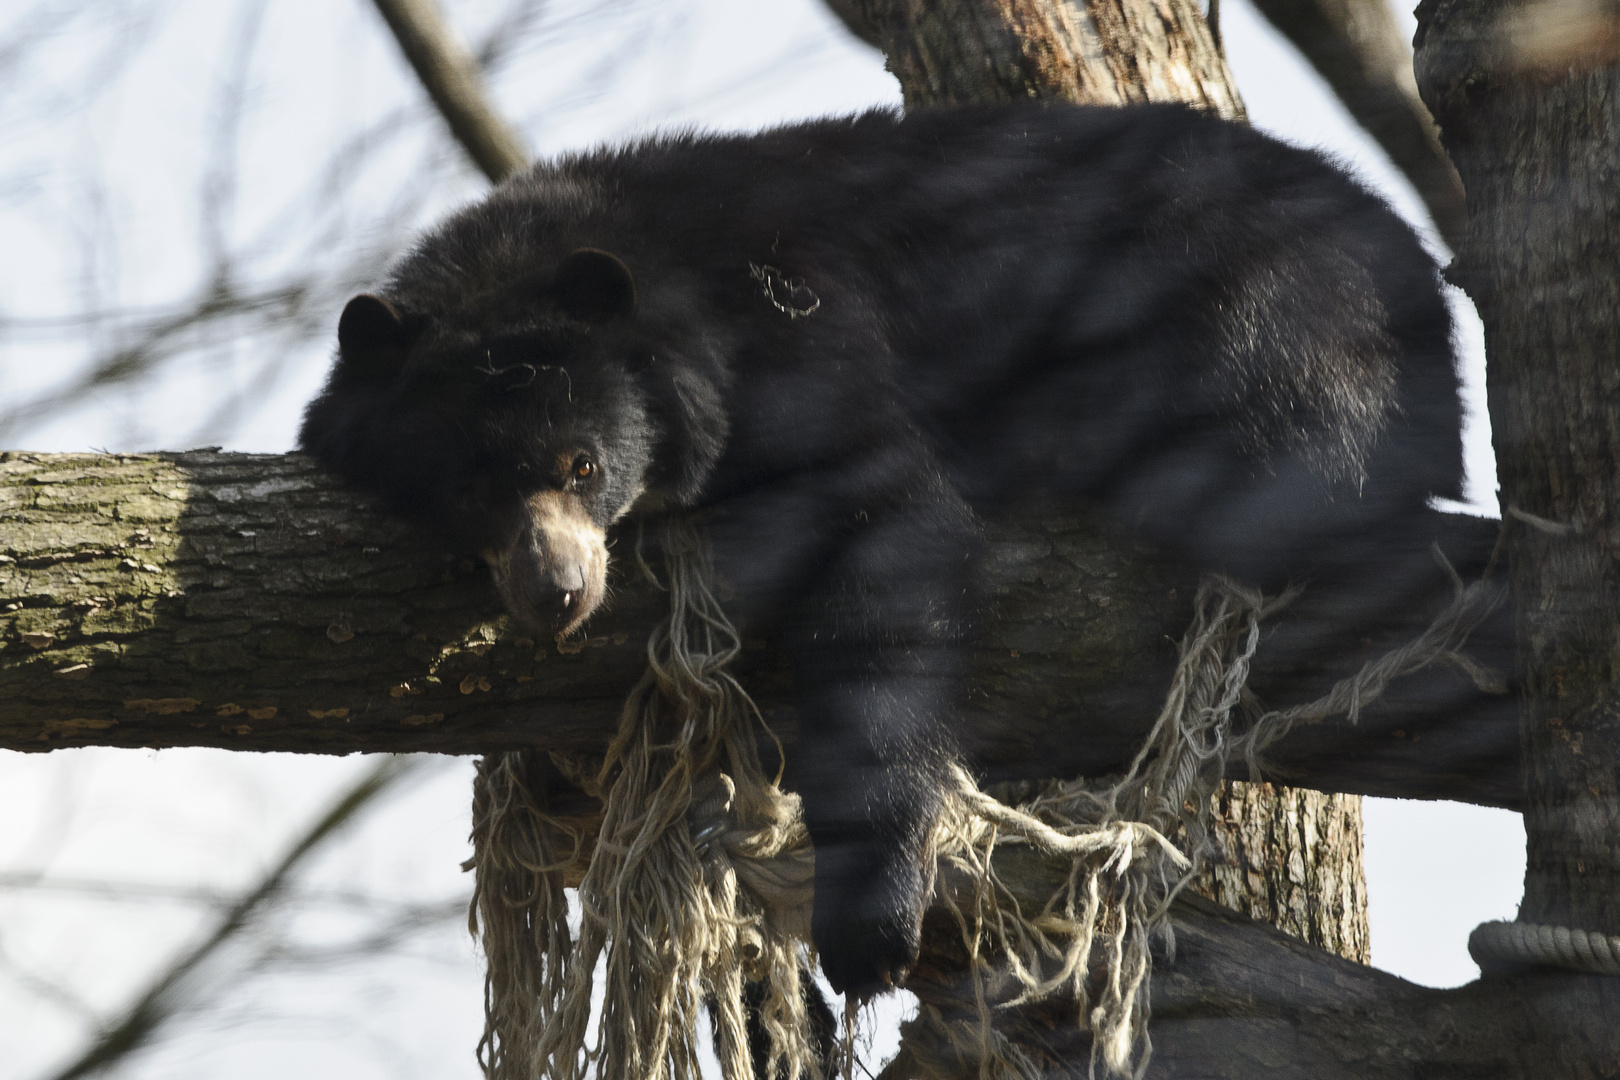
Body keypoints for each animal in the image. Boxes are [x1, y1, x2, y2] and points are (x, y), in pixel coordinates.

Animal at [298, 105, 1464, 1003]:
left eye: (583, 464)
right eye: (467, 492)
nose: (559, 594)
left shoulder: (805, 341)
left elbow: (884, 547)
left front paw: (871, 928)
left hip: (1269, 315)